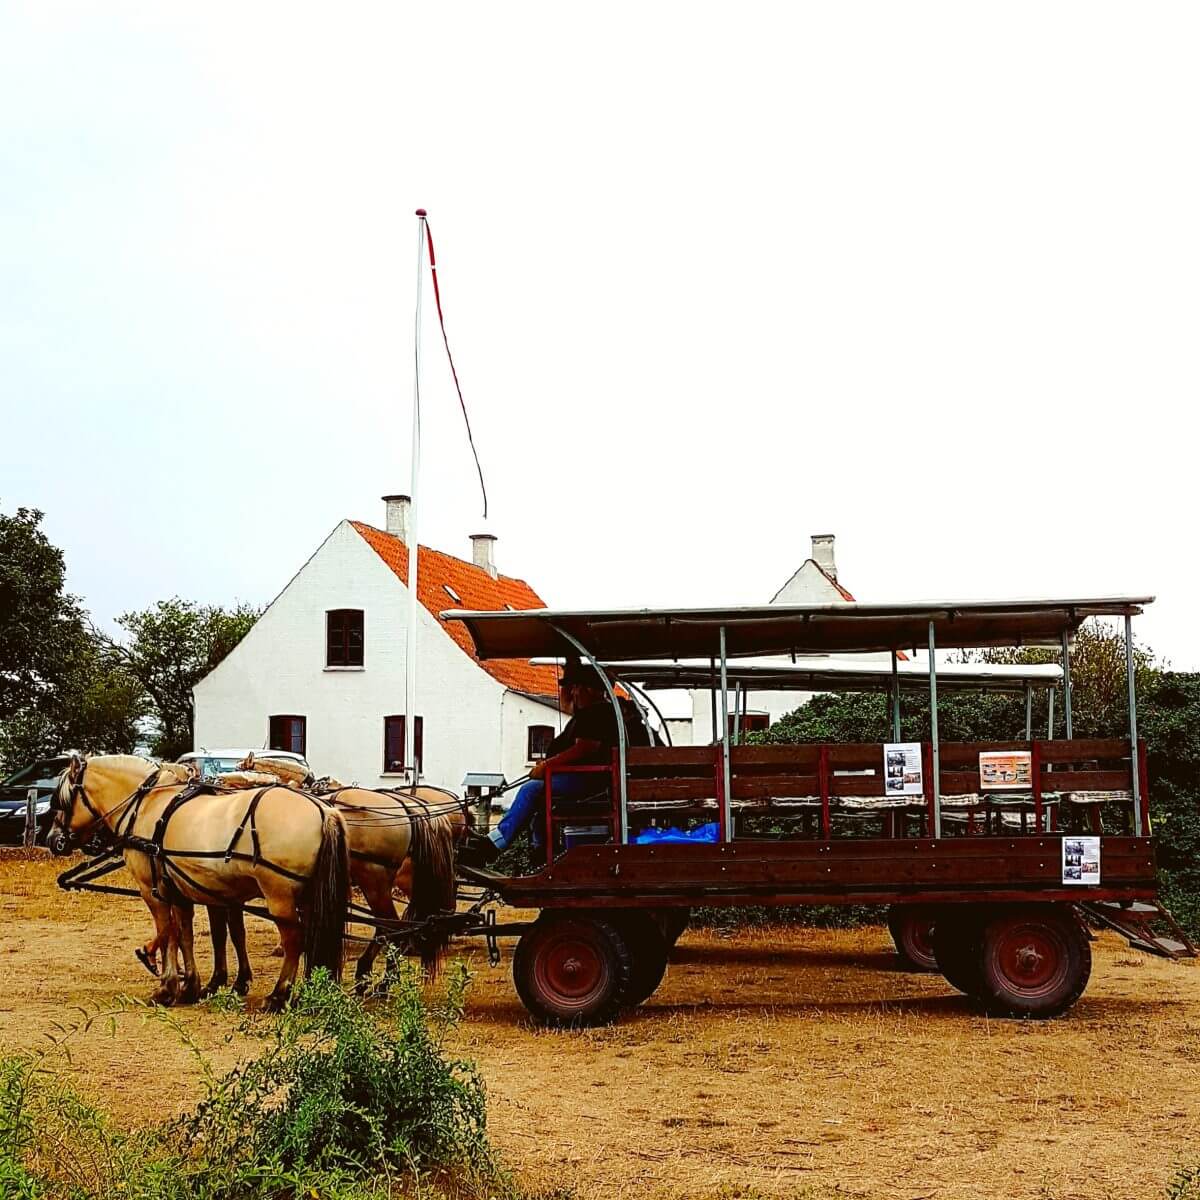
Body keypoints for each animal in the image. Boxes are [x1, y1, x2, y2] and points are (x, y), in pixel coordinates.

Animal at [52, 753, 350, 1008]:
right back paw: (310, 988)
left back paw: (279, 994)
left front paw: (166, 986)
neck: (147, 806)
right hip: (309, 897)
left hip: (280, 896)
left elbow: (167, 932)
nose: (54, 839)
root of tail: (324, 810)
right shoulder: (183, 891)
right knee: (314, 934)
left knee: (294, 940)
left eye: (62, 801)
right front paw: (192, 986)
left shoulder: (154, 891)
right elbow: (187, 934)